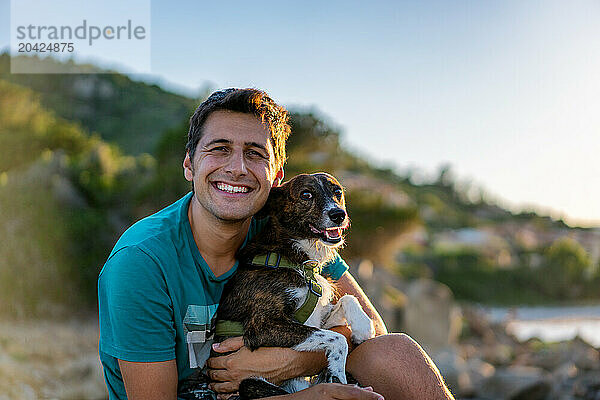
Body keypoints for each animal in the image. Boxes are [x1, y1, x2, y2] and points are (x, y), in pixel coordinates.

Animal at [216, 173, 376, 398]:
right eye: (306, 195)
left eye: (337, 192)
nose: (339, 214)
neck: (298, 260)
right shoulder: (262, 326)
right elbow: (337, 338)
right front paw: (337, 372)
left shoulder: (317, 317)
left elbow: (347, 299)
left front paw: (363, 327)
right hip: (249, 383)